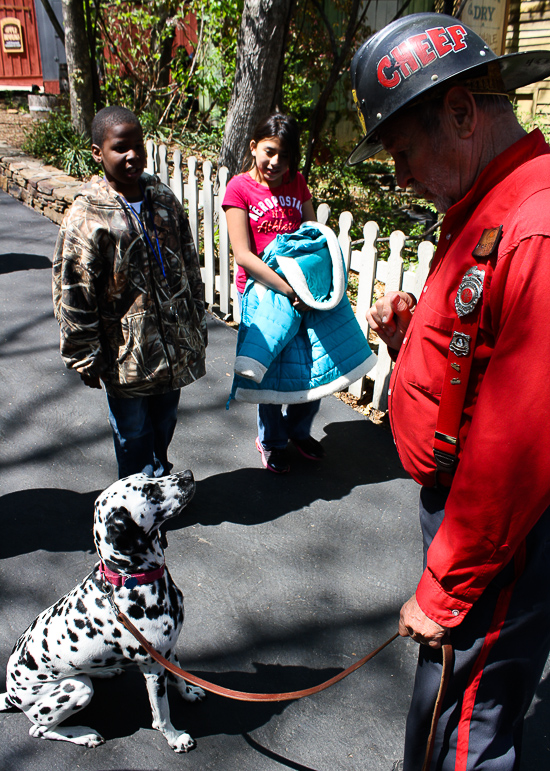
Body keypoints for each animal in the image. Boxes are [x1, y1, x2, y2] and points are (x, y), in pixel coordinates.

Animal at [0, 474, 205, 752]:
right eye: (150, 491)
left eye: (151, 476)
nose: (188, 475)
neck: (131, 579)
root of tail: (11, 693)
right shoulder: (153, 667)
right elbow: (162, 714)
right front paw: (174, 738)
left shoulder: (168, 651)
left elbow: (180, 677)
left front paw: (189, 693)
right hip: (76, 689)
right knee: (40, 730)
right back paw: (84, 735)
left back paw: (105, 671)